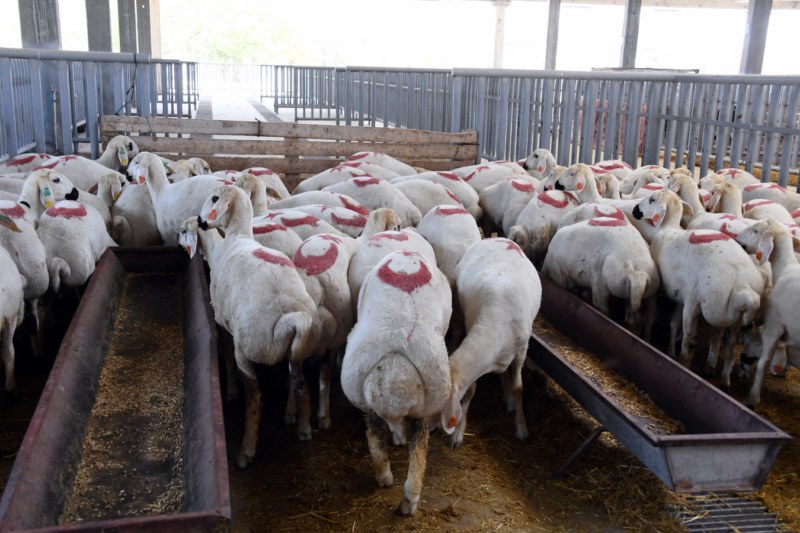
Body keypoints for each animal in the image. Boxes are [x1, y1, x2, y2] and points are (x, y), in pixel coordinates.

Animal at [196, 184, 322, 462]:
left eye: (214, 198)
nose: (200, 221)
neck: (237, 236)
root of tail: (289, 314)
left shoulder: (222, 322)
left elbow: (226, 354)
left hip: (249, 348)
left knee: (254, 397)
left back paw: (246, 450)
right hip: (299, 350)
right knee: (301, 384)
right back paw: (303, 427)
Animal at [438, 238, 544, 448]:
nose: (432, 431)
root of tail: (496, 238)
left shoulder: (521, 351)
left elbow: (518, 387)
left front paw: (522, 428)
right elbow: (471, 391)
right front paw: (459, 433)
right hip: (459, 309)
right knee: (457, 333)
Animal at [632, 189, 764, 384]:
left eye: (652, 199)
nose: (635, 210)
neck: (667, 228)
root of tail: (742, 285)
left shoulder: (665, 291)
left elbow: (650, 318)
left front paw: (647, 340)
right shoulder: (679, 296)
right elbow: (674, 324)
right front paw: (670, 351)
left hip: (696, 303)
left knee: (689, 342)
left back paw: (684, 366)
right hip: (730, 317)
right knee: (729, 347)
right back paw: (723, 378)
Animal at [732, 217, 800, 408]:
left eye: (756, 231)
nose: (738, 242)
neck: (785, 267)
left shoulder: (774, 328)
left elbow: (763, 362)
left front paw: (752, 398)